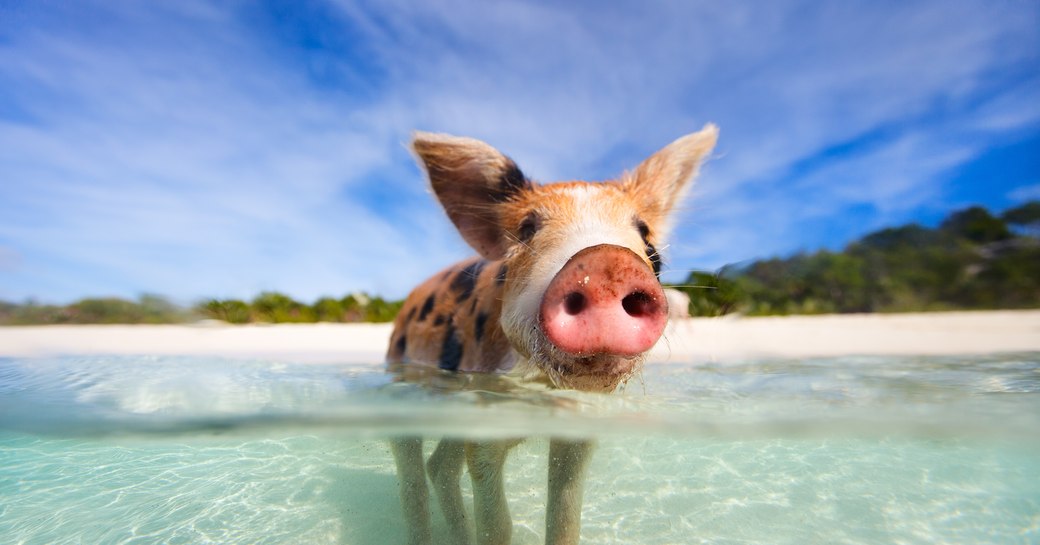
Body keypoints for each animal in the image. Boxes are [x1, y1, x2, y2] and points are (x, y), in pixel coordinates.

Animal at [386, 124, 719, 545]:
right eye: (527, 229)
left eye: (646, 237)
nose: (606, 262)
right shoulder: (484, 420)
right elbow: (498, 524)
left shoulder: (579, 425)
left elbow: (565, 516)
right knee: (412, 470)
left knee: (440, 466)